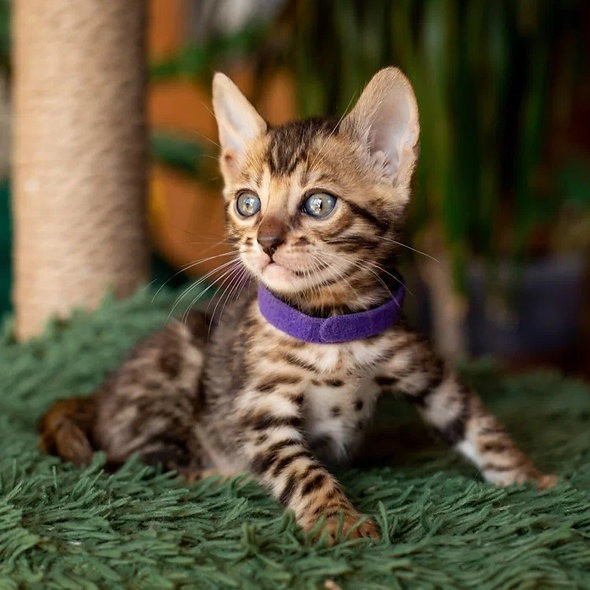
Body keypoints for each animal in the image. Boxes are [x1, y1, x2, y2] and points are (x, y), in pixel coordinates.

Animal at [39, 67, 556, 544]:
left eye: (319, 204)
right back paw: (223, 475)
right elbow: (300, 470)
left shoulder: (423, 367)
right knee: (143, 462)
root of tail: (99, 397)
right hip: (176, 375)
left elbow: (475, 421)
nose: (266, 241)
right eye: (248, 204)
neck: (328, 322)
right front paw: (340, 521)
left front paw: (530, 478)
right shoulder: (259, 409)